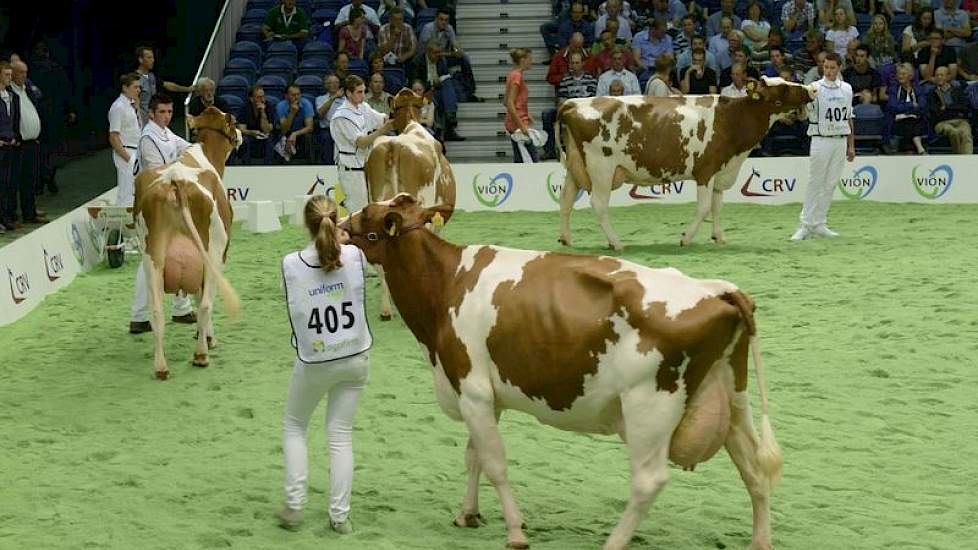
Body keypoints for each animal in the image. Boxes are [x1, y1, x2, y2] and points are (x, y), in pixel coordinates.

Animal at [133, 109, 242, 384]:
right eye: (233, 122)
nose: (240, 134)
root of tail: (175, 180)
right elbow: (203, 297)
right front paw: (209, 338)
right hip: (213, 251)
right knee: (205, 304)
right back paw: (201, 355)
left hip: (152, 256)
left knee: (157, 312)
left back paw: (161, 366)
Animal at [340, 195, 780, 550]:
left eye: (367, 217)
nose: (339, 225)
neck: (446, 284)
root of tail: (716, 289)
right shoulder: (482, 395)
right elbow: (473, 455)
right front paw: (468, 513)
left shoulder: (472, 388)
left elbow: (494, 462)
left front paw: (515, 531)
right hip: (733, 399)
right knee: (755, 471)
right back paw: (760, 542)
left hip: (650, 407)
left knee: (648, 481)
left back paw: (613, 543)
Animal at [556, 76, 816, 252]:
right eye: (783, 87)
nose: (811, 89)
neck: (733, 118)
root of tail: (573, 103)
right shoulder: (706, 170)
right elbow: (704, 208)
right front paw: (686, 238)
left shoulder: (720, 172)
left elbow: (717, 206)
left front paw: (719, 237)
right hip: (601, 168)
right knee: (598, 204)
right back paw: (616, 243)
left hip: (574, 167)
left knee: (566, 200)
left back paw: (567, 240)